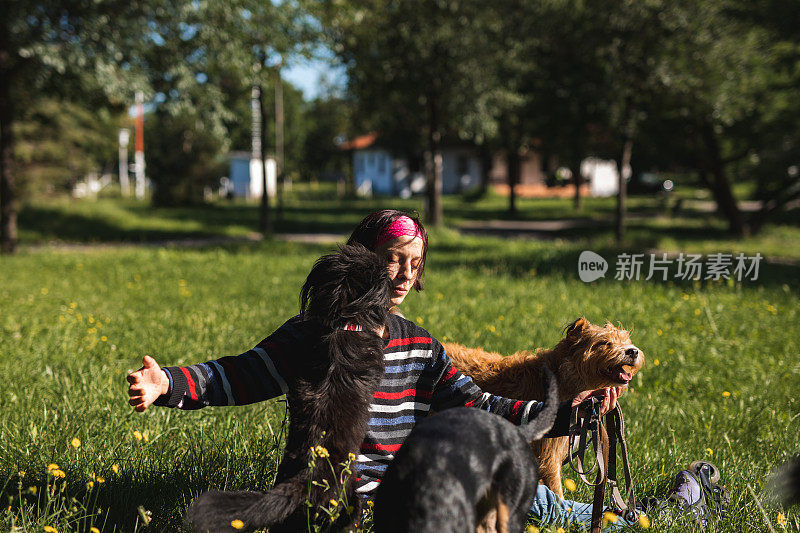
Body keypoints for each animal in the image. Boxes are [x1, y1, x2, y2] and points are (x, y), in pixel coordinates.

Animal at [444, 316, 644, 498]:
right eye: (604, 342)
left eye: (625, 341)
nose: (633, 351)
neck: (562, 378)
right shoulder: (548, 457)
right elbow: (557, 496)